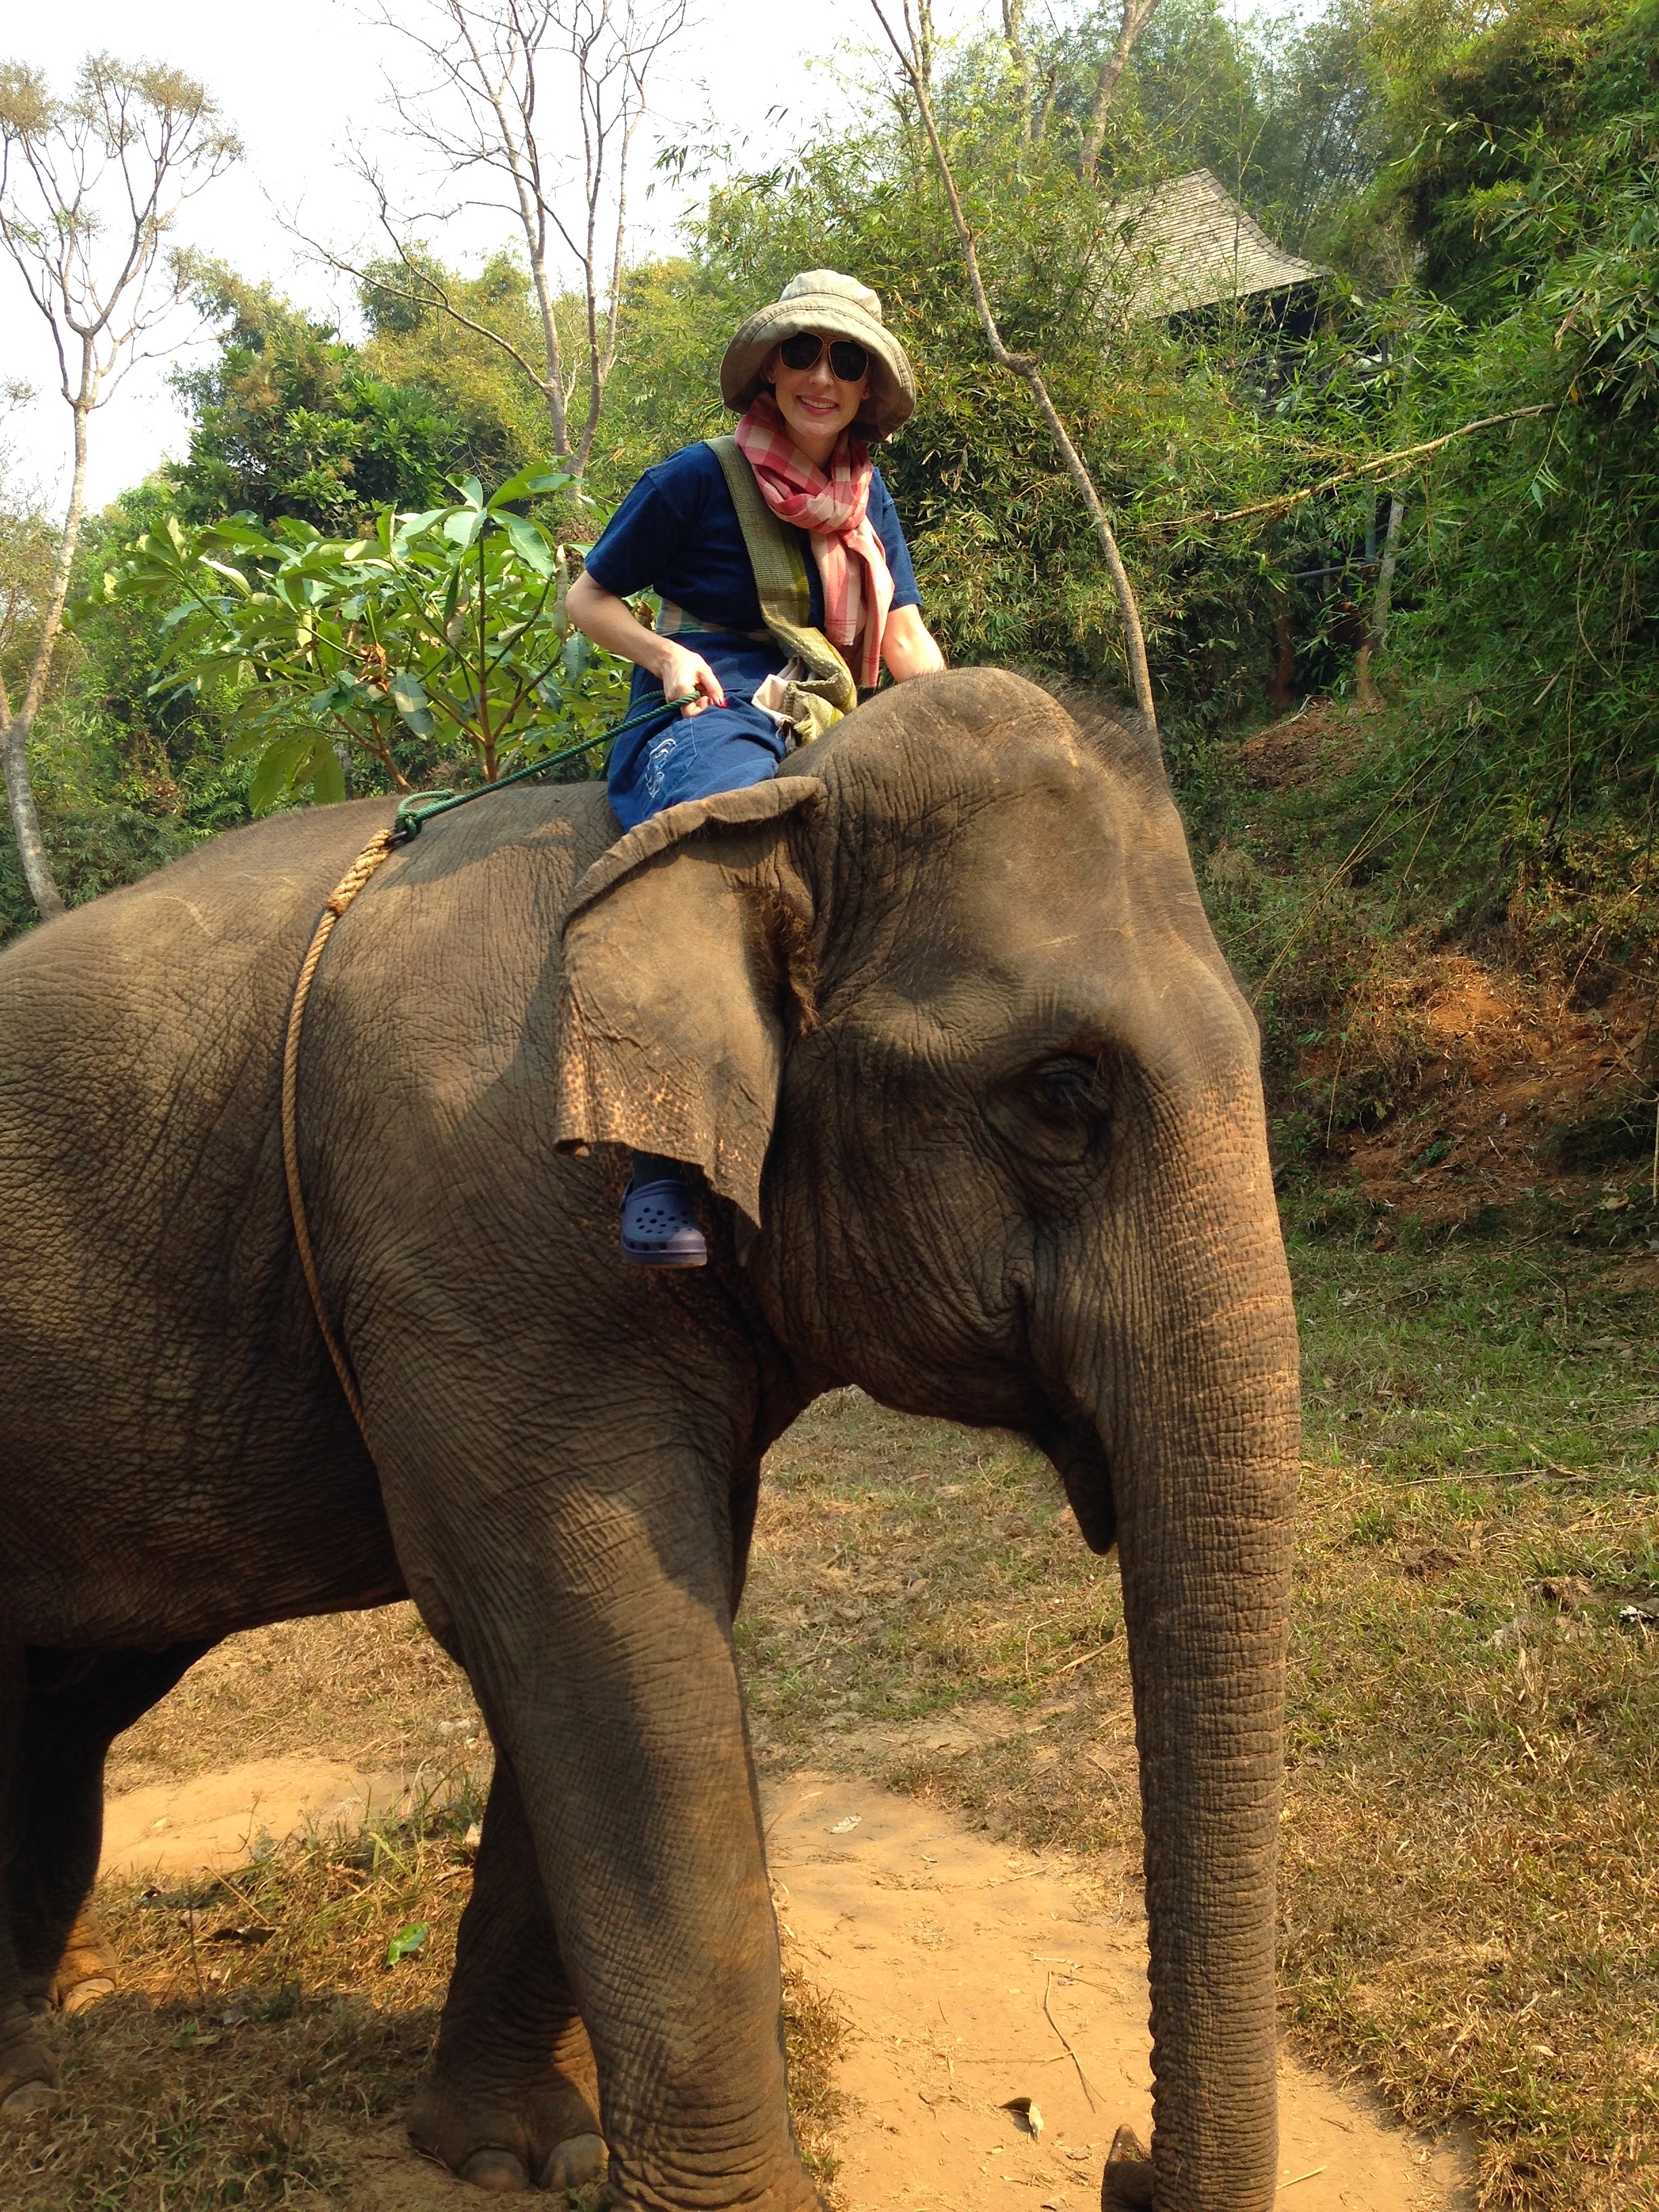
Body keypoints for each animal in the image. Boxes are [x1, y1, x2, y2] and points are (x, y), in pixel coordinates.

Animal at [0, 663, 1300, 2203]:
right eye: (1061, 1091)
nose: (1118, 2153)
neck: (745, 816)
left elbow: (625, 1639)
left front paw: (518, 2151)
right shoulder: (477, 1234)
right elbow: (607, 1645)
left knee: (67, 1691)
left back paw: (58, 2007)